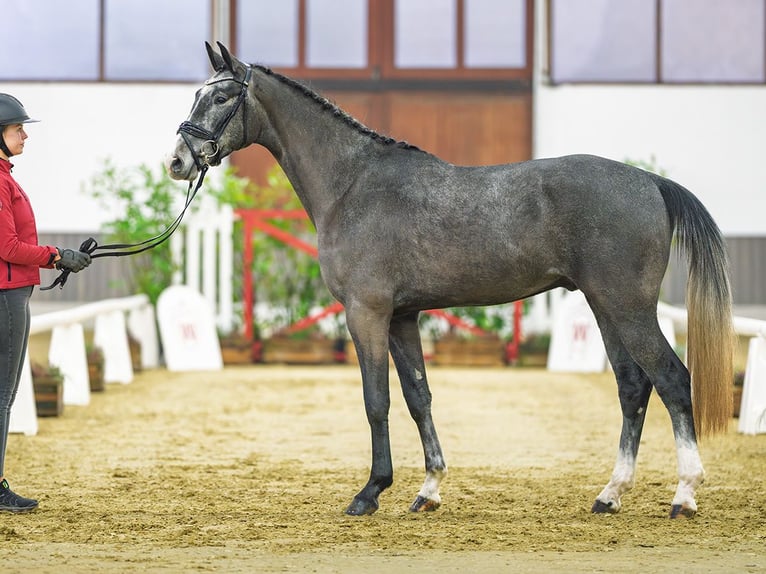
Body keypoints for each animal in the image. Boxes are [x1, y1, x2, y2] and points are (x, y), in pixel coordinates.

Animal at [166, 44, 732, 520]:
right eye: (196, 93)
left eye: (220, 96)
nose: (177, 161)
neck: (352, 185)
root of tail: (649, 182)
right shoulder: (401, 317)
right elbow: (418, 396)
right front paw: (428, 489)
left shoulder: (366, 313)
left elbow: (376, 400)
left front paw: (370, 492)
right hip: (605, 307)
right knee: (633, 386)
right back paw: (610, 494)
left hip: (628, 307)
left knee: (673, 379)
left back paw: (684, 495)